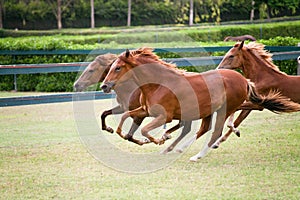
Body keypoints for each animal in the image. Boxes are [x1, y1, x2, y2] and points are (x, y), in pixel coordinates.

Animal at [101, 47, 300, 160]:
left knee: (216, 131)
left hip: (225, 109)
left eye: (118, 67)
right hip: (210, 111)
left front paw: (158, 140)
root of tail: (244, 80)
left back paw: (197, 156)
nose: (104, 85)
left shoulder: (164, 116)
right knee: (204, 129)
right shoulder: (145, 110)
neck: (159, 84)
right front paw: (120, 132)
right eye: (111, 67)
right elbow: (125, 118)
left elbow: (144, 129)